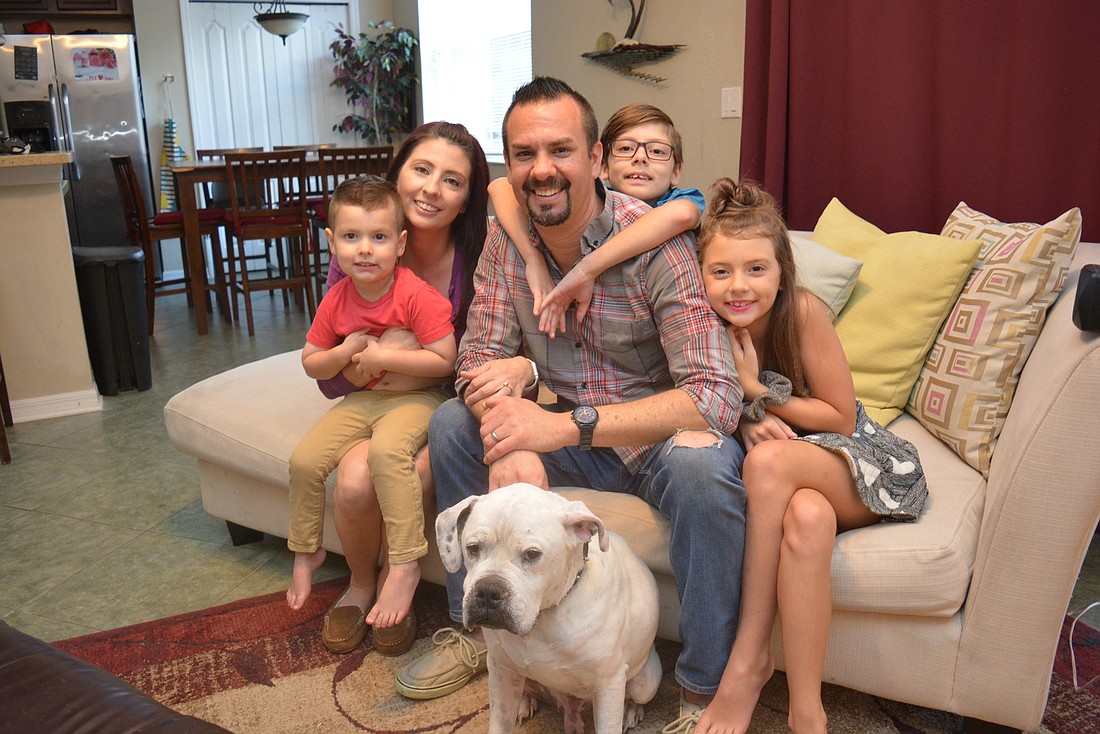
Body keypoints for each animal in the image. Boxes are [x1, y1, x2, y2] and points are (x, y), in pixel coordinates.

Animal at [435, 481, 660, 734]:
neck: (542, 619)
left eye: (532, 554)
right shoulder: (501, 670)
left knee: (636, 695)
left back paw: (630, 711)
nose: (488, 591)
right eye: (472, 548)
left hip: (646, 682)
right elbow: (499, 722)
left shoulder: (608, 684)